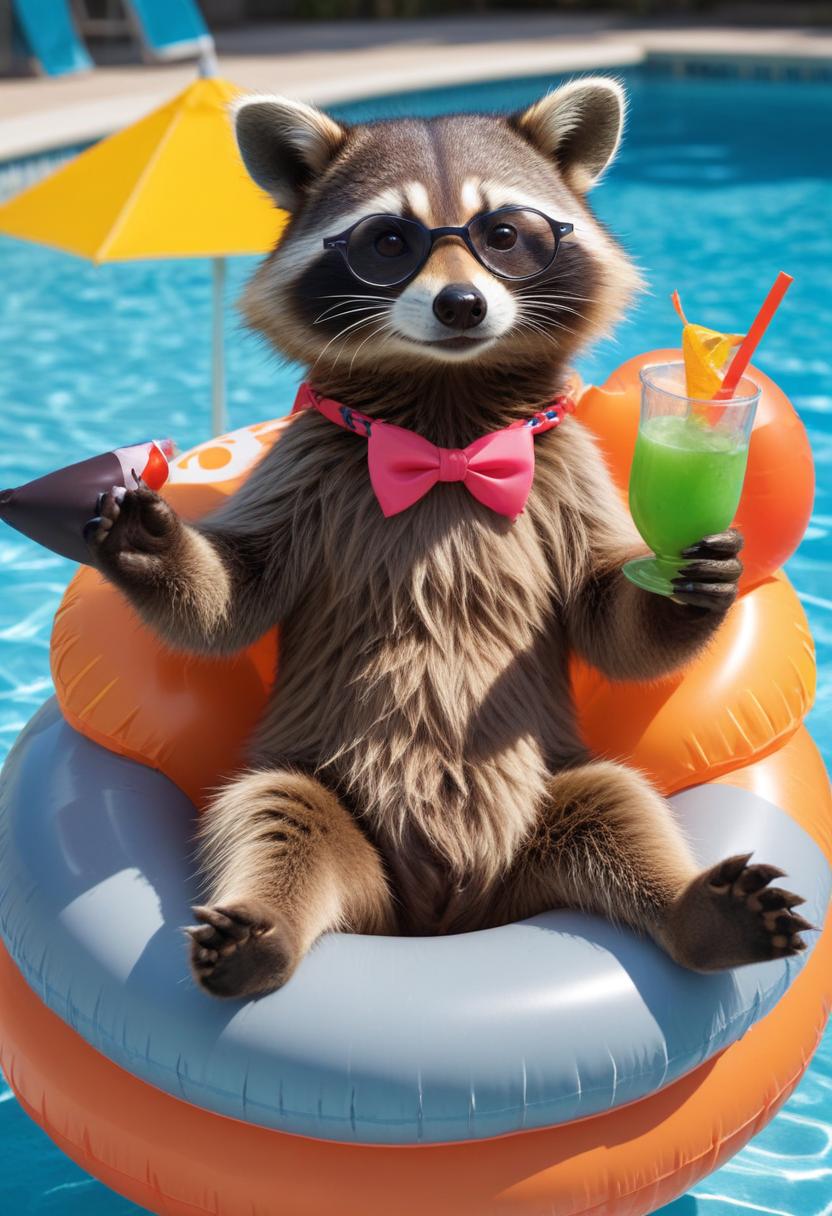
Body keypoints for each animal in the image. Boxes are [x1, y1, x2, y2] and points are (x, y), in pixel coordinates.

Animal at [87, 79, 810, 998]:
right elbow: (233, 599)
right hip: (322, 794)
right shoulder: (307, 467)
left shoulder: (569, 472)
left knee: (617, 807)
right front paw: (157, 547)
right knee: (271, 814)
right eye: (388, 242)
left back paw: (695, 912)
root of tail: (442, 916)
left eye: (506, 235)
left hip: (551, 805)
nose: (461, 304)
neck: (445, 425)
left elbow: (608, 621)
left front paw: (686, 586)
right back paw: (265, 930)